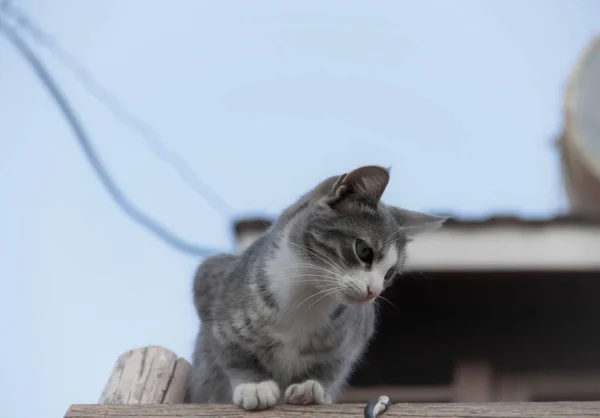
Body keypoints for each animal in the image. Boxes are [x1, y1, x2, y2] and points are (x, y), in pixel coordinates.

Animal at [188, 165, 446, 410]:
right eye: (364, 251)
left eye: (390, 272)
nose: (373, 291)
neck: (307, 297)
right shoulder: (210, 282)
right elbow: (231, 352)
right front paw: (254, 385)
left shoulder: (358, 332)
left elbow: (334, 366)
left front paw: (312, 387)